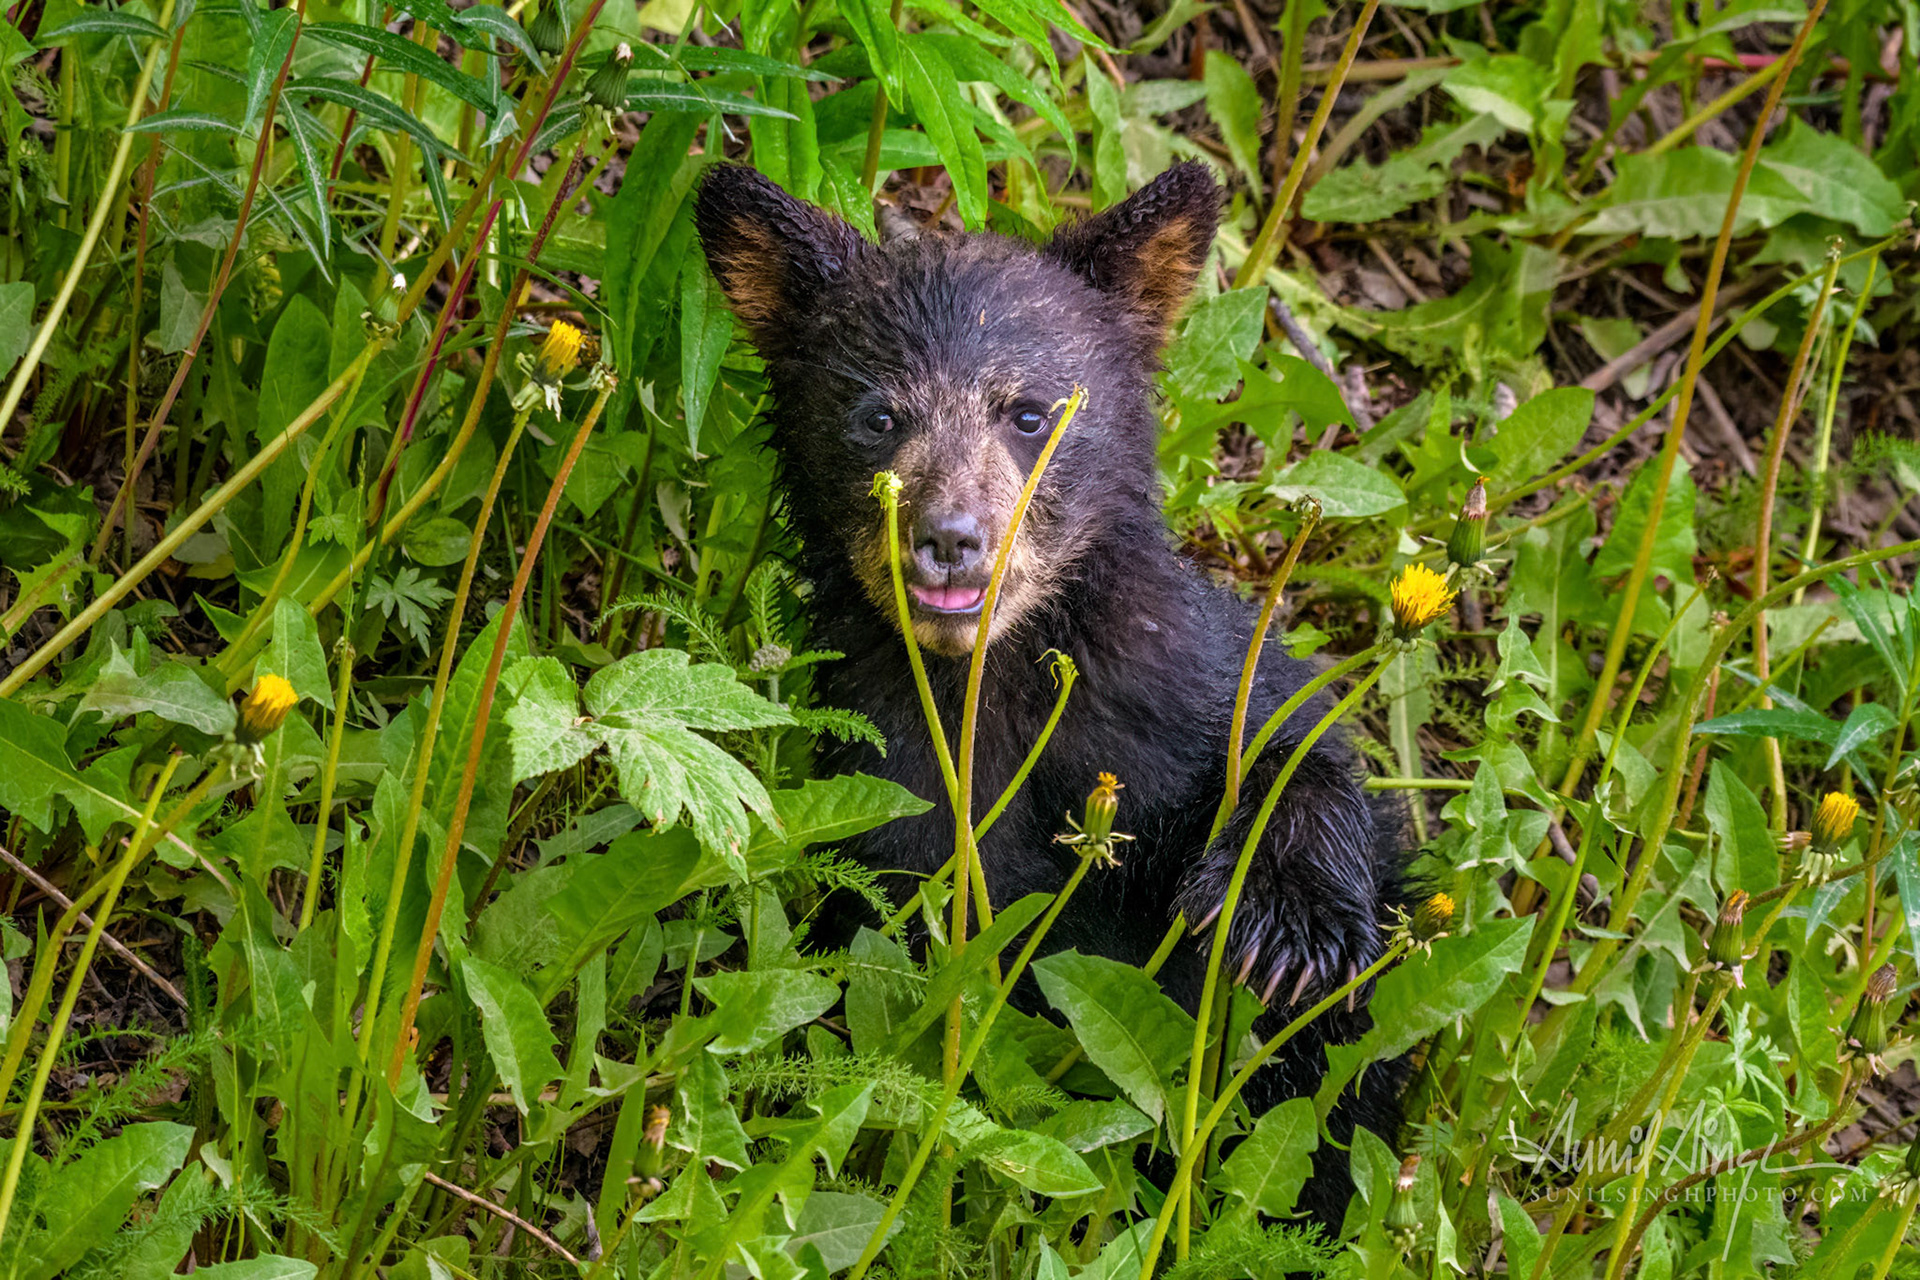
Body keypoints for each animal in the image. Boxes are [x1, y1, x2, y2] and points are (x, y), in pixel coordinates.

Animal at [694, 160, 1409, 1227]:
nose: (950, 538)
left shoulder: (1168, 682)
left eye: (1028, 413)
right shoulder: (890, 784)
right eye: (878, 415)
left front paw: (1286, 925)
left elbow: (1288, 730)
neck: (991, 682)